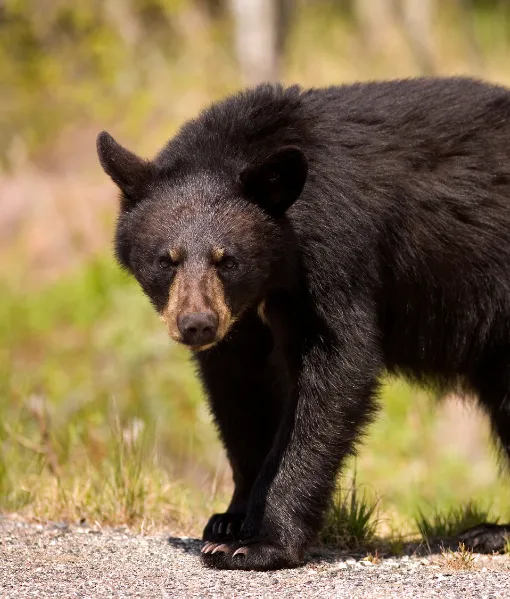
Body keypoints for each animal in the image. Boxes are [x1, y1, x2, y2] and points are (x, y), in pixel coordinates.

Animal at [95, 77, 510, 568]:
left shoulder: (336, 253)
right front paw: (229, 521)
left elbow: (336, 369)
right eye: (167, 259)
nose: (197, 324)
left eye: (227, 260)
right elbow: (241, 393)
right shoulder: (240, 323)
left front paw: (260, 542)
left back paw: (491, 531)